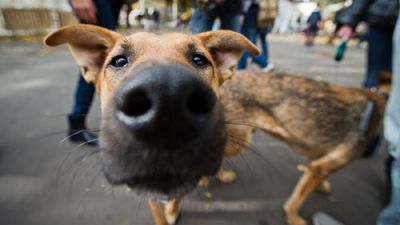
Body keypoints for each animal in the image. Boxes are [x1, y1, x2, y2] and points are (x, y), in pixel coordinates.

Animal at [219, 71, 388, 225]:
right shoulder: (320, 166)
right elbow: (297, 200)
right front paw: (293, 218)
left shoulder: (317, 161)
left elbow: (316, 179)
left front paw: (322, 185)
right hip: (239, 142)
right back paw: (222, 176)